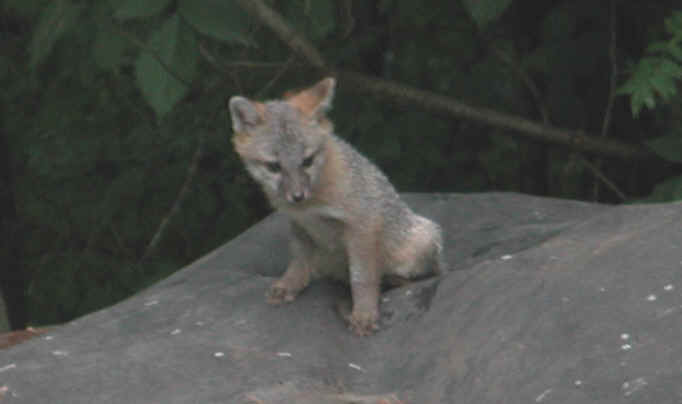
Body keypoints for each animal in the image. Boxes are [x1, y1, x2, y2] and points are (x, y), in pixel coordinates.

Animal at [229, 77, 444, 336]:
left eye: (307, 161)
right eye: (274, 167)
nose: (297, 196)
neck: (310, 205)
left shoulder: (362, 225)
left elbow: (362, 278)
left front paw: (364, 312)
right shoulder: (299, 223)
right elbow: (299, 259)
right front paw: (290, 283)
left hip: (420, 242)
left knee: (424, 275)